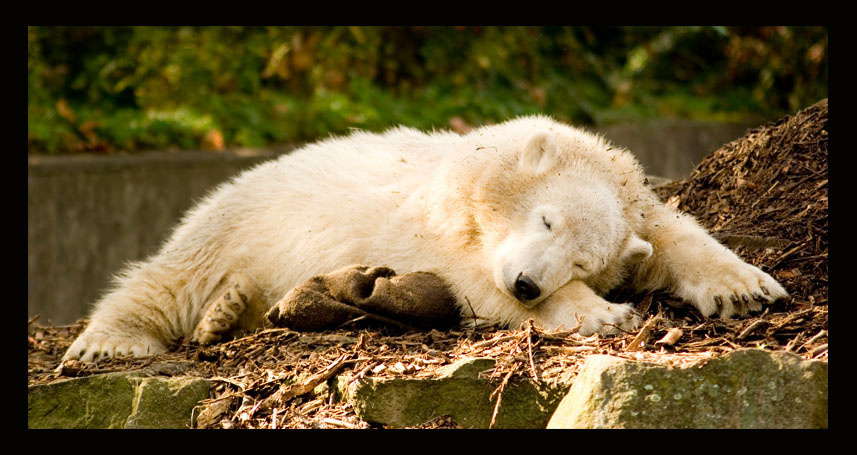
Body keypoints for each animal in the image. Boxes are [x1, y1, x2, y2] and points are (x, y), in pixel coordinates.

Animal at [62, 115, 788, 362]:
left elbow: (671, 233)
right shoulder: (426, 225)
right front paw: (602, 314)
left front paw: (746, 289)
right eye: (545, 220)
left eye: (583, 259)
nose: (527, 281)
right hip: (239, 219)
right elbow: (467, 281)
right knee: (169, 276)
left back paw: (230, 314)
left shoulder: (633, 199)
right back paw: (109, 341)